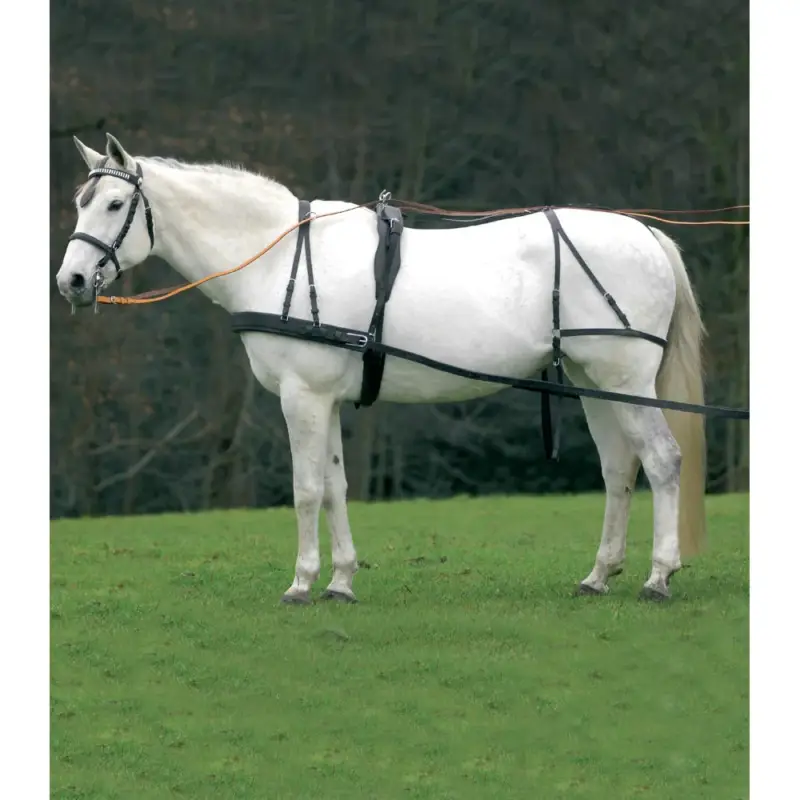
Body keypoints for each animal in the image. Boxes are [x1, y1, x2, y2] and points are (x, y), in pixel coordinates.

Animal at [56, 133, 707, 604]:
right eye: (81, 203)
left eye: (115, 204)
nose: (71, 281)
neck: (280, 258)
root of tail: (646, 233)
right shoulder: (327, 399)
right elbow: (336, 487)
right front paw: (341, 581)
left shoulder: (302, 397)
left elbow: (306, 489)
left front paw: (301, 582)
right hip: (596, 384)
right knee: (620, 469)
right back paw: (600, 574)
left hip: (627, 382)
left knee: (663, 461)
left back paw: (658, 576)